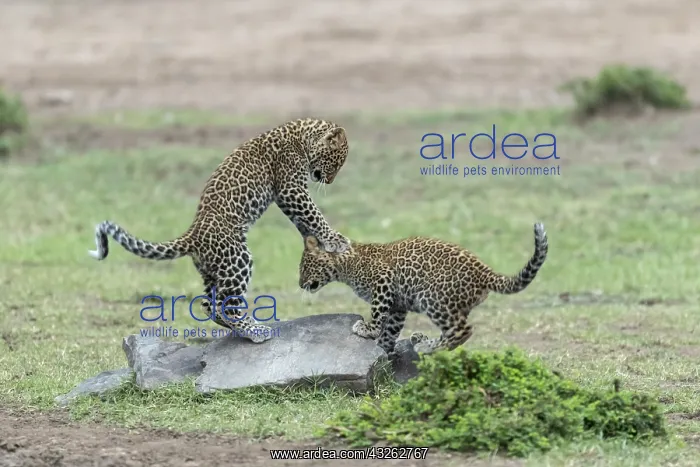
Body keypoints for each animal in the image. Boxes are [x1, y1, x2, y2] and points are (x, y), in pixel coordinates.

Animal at [88, 118, 352, 343]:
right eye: (336, 161)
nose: (329, 181)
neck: (301, 135)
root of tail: (193, 234)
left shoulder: (287, 195)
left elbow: (305, 221)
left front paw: (322, 243)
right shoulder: (290, 189)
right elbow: (313, 214)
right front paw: (336, 240)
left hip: (213, 270)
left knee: (208, 305)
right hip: (237, 258)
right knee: (223, 305)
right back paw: (254, 330)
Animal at [298, 222, 548, 358]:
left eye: (303, 267)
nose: (300, 284)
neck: (345, 264)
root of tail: (485, 272)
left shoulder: (383, 282)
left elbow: (378, 315)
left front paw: (367, 329)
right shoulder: (397, 305)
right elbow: (390, 330)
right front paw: (384, 349)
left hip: (432, 297)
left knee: (462, 330)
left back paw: (426, 347)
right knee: (453, 329)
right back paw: (423, 340)